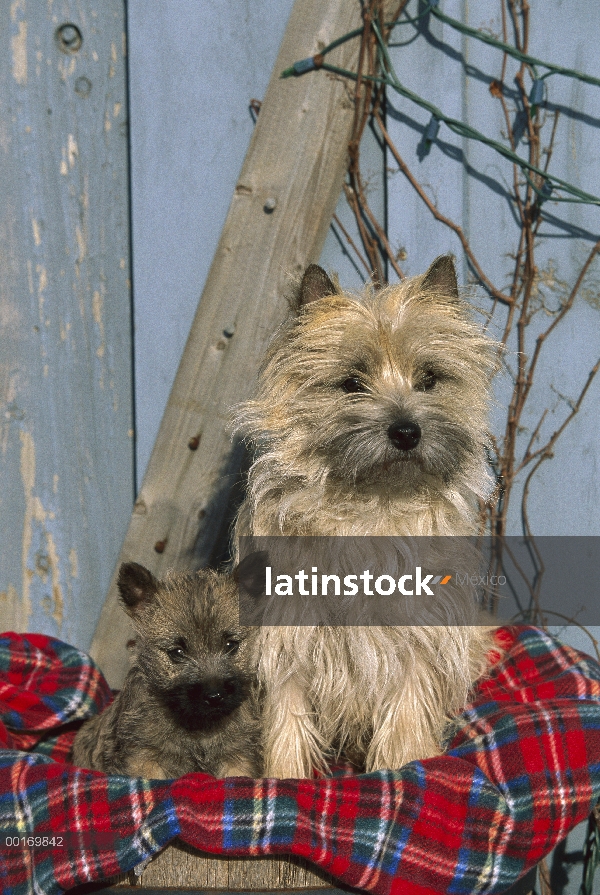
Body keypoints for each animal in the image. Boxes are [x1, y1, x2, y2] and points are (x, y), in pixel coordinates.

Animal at [71, 560, 264, 776]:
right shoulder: (144, 759)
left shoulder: (238, 758)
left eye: (231, 645)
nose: (214, 696)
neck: (199, 727)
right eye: (177, 652)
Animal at [232, 256, 500, 780]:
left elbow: (406, 716)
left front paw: (406, 769)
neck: (372, 508)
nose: (406, 432)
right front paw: (283, 780)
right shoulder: (284, 638)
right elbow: (286, 723)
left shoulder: (420, 636)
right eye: (352, 383)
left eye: (429, 378)